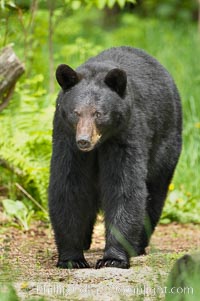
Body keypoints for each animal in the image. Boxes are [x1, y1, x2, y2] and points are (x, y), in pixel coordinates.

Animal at [48, 46, 181, 268]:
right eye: (76, 112)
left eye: (98, 113)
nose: (84, 141)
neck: (100, 144)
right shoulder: (66, 139)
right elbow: (68, 186)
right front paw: (72, 258)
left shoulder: (126, 135)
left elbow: (124, 187)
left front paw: (113, 258)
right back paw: (84, 240)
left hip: (165, 143)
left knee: (154, 191)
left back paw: (137, 245)